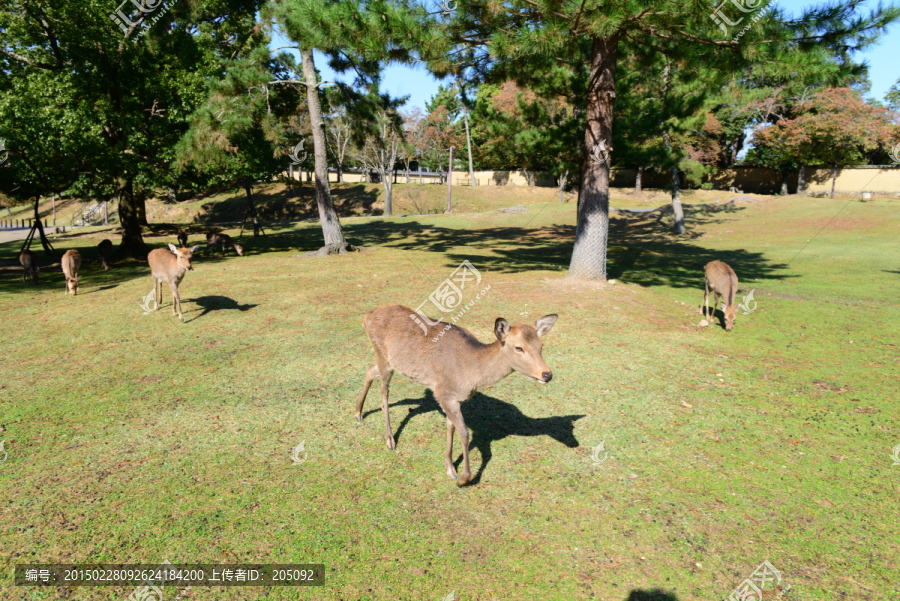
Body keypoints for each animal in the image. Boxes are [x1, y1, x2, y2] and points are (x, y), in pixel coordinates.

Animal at [356, 308, 556, 486]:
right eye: (519, 348)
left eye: (541, 346)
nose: (547, 375)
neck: (472, 373)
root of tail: (367, 316)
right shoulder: (443, 393)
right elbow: (465, 433)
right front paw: (463, 478)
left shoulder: (453, 398)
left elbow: (450, 427)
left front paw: (450, 468)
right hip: (383, 356)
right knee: (384, 391)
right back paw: (389, 439)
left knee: (370, 371)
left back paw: (358, 413)